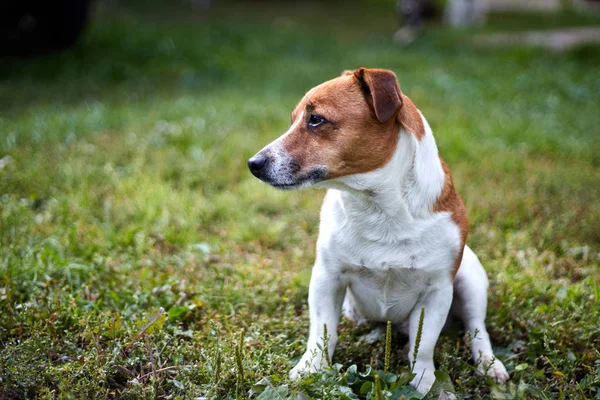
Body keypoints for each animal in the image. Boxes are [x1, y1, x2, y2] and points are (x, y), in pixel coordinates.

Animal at [246, 68, 508, 394]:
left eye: (316, 119)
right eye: (294, 119)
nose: (253, 164)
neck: (377, 207)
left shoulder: (437, 290)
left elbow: (423, 345)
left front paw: (425, 381)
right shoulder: (326, 278)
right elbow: (322, 333)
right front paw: (311, 368)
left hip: (471, 279)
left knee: (476, 328)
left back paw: (489, 363)